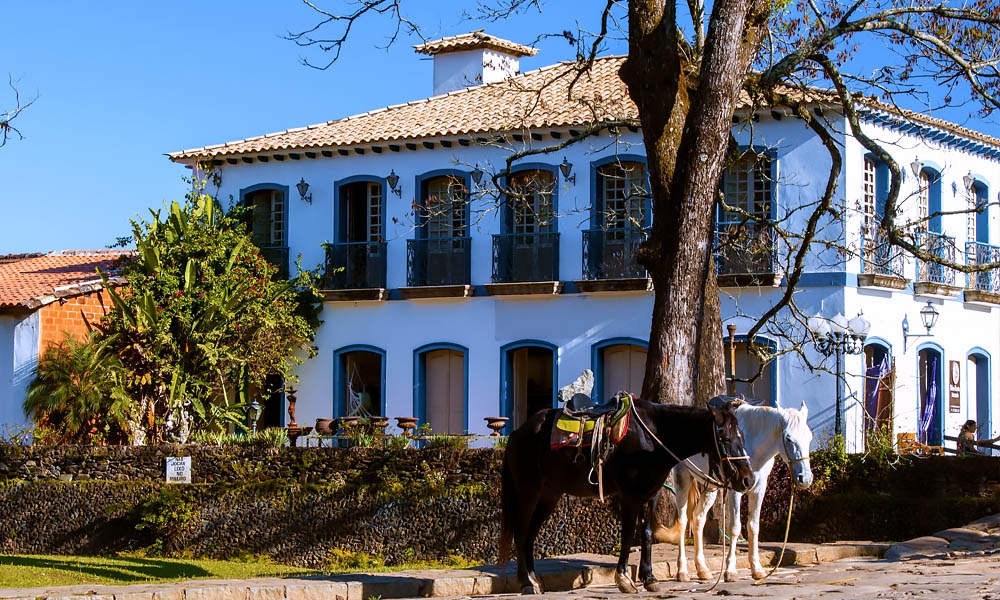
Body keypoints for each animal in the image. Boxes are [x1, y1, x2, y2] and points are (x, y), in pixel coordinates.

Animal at [496, 396, 752, 592]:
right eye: (725, 438)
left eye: (742, 436)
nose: (748, 480)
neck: (653, 438)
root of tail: (518, 432)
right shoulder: (630, 496)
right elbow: (628, 534)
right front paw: (624, 579)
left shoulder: (651, 495)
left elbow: (646, 534)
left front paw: (649, 579)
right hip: (528, 491)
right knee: (521, 533)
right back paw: (526, 583)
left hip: (549, 496)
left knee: (529, 535)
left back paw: (533, 579)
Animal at [668, 404, 816, 580]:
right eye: (788, 438)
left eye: (809, 437)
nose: (804, 478)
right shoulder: (735, 491)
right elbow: (735, 527)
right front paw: (730, 570)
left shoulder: (759, 488)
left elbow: (753, 526)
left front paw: (757, 569)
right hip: (682, 478)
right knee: (683, 522)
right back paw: (682, 571)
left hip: (710, 486)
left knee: (698, 519)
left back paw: (702, 569)